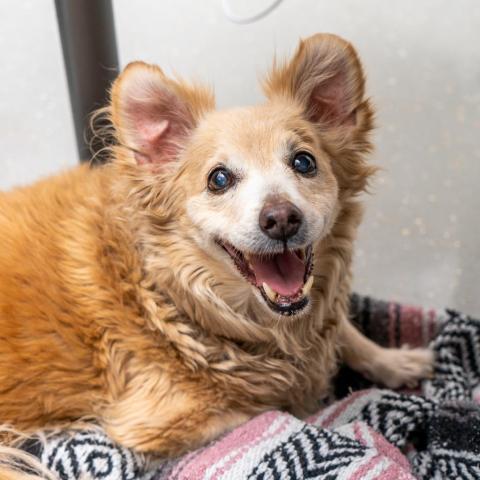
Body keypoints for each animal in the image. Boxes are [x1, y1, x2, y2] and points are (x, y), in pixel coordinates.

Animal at [0, 34, 434, 472]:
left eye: (304, 162)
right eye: (219, 179)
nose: (281, 219)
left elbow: (342, 326)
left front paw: (393, 360)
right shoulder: (152, 423)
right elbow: (274, 407)